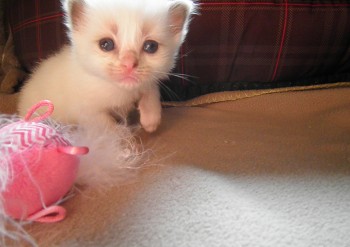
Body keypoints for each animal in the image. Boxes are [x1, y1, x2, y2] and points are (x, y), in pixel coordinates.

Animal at [17, 0, 196, 133]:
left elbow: (150, 90)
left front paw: (151, 119)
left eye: (151, 46)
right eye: (106, 44)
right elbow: (107, 126)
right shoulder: (87, 112)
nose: (129, 63)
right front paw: (123, 143)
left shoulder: (146, 83)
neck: (120, 91)